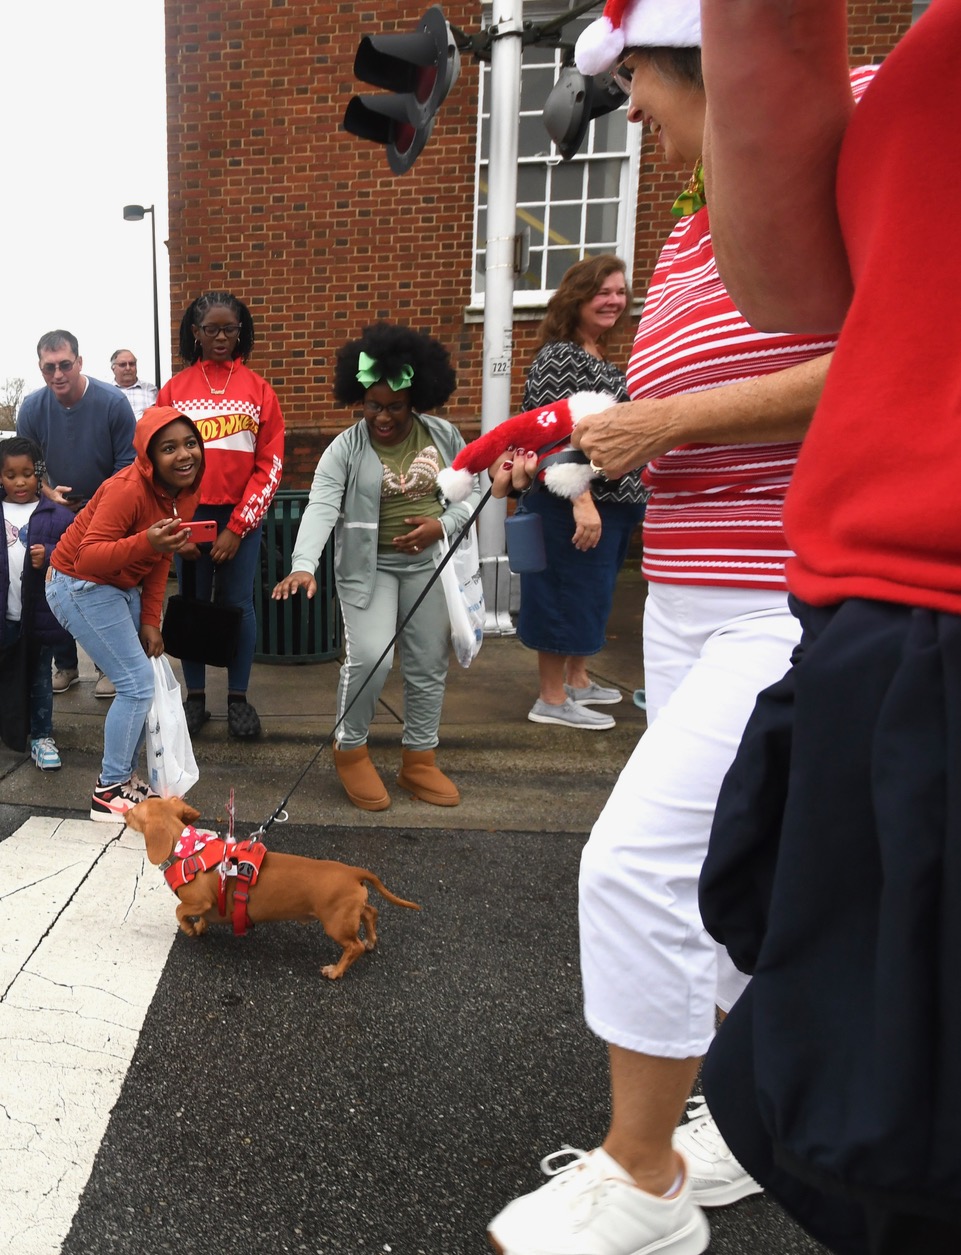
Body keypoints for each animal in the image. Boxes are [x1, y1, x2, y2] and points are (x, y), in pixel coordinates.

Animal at [125, 793, 421, 978]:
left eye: (137, 810)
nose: (125, 811)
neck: (188, 849)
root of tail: (353, 872)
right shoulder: (208, 905)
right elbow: (203, 919)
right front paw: (199, 927)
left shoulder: (200, 900)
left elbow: (179, 911)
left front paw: (188, 928)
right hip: (350, 911)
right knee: (371, 912)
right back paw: (371, 940)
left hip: (335, 923)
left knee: (353, 947)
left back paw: (335, 971)